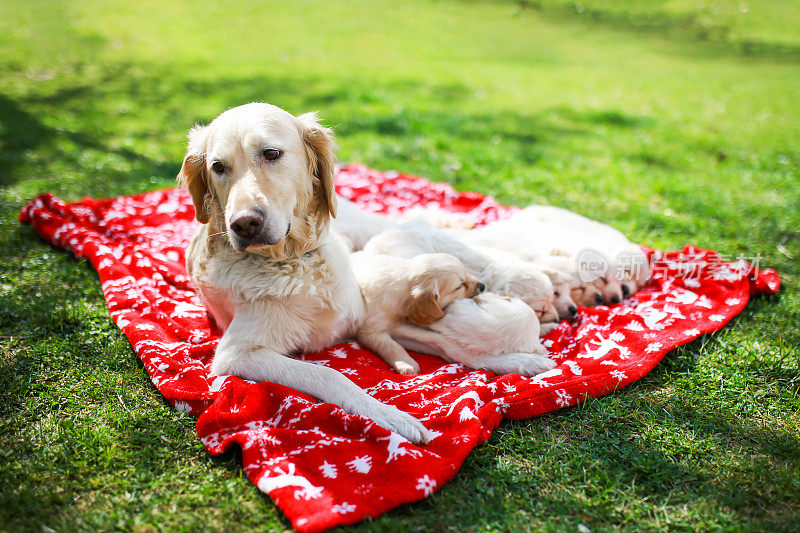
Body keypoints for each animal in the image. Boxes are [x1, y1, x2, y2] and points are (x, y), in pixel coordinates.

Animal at [181, 102, 428, 442]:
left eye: (271, 153)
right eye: (218, 167)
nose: (243, 224)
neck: (296, 261)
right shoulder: (236, 354)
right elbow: (328, 373)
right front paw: (392, 416)